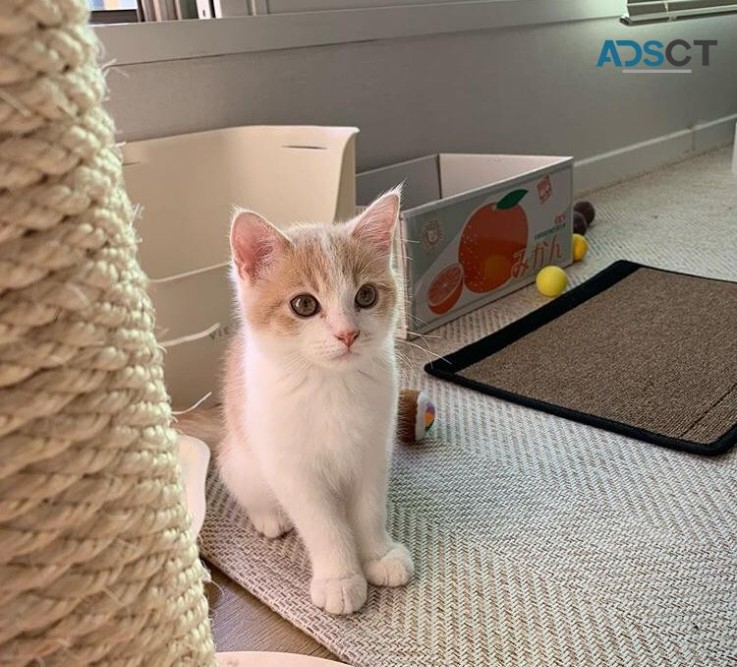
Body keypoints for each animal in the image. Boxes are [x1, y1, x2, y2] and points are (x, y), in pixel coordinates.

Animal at [218, 188, 414, 616]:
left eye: (366, 295)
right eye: (304, 305)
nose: (347, 334)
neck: (331, 386)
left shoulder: (373, 450)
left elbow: (368, 508)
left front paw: (379, 555)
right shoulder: (293, 470)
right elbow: (323, 526)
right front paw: (339, 579)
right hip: (240, 459)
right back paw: (269, 517)